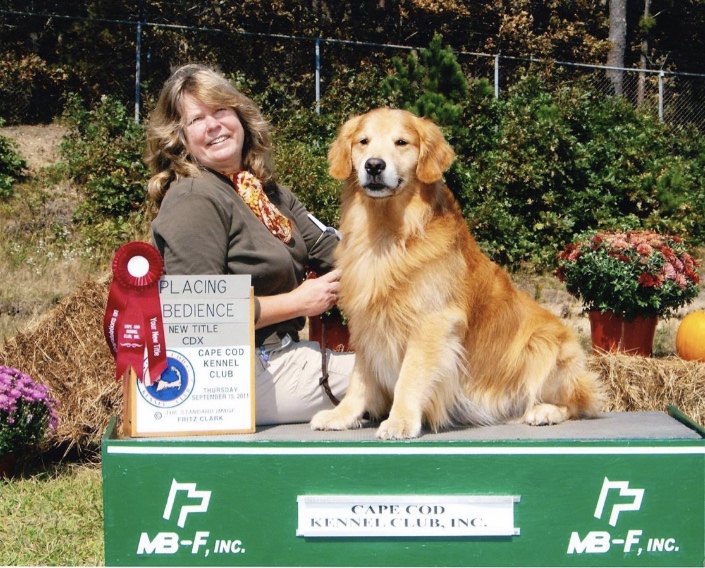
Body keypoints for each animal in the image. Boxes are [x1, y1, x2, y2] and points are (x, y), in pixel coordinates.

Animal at [310, 108, 604, 442]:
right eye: (363, 141)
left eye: (401, 142)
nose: (373, 165)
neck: (389, 232)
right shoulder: (368, 323)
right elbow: (360, 378)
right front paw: (342, 415)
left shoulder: (431, 323)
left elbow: (409, 376)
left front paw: (400, 421)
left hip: (543, 346)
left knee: (579, 403)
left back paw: (544, 411)